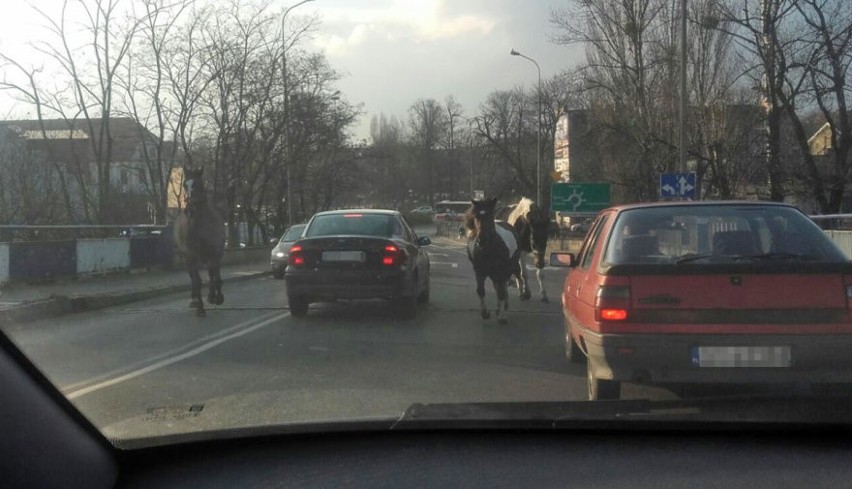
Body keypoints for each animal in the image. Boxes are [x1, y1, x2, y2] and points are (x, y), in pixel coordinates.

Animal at [173, 165, 225, 316]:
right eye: (185, 185)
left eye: (199, 184)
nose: (190, 207)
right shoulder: (191, 256)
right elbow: (197, 281)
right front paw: (200, 308)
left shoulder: (213, 253)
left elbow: (213, 276)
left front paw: (216, 297)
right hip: (188, 258)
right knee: (195, 276)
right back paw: (195, 299)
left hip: (214, 255)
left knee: (214, 273)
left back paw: (215, 295)